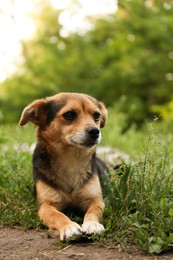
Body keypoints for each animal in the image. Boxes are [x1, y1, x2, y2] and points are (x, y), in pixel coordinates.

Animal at [19, 92, 108, 241]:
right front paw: (69, 226)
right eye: (69, 114)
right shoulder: (46, 205)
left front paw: (92, 224)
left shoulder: (95, 199)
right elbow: (58, 215)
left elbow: (93, 211)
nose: (95, 131)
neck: (71, 159)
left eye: (96, 115)